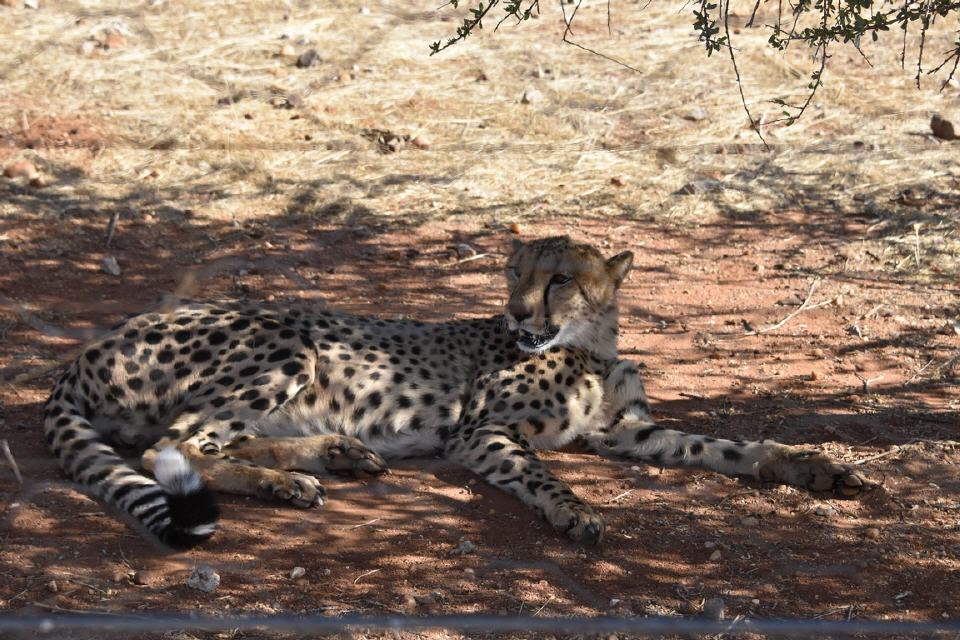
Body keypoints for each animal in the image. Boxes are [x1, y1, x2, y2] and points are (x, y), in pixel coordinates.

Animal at [41, 238, 872, 548]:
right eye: (515, 275)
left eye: (558, 278)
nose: (517, 313)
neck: (589, 347)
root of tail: (88, 350)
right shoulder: (481, 431)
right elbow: (541, 472)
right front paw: (575, 512)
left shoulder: (628, 434)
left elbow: (730, 446)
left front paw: (813, 467)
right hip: (286, 343)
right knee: (169, 444)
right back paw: (288, 480)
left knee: (204, 438)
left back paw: (331, 456)